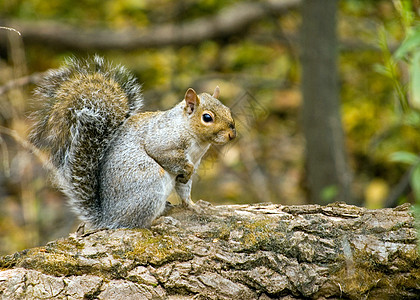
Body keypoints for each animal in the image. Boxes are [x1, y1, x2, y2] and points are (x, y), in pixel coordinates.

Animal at [30, 56, 236, 229]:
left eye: (228, 110)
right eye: (207, 117)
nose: (232, 134)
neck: (195, 139)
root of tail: (109, 217)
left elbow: (184, 190)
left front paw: (194, 205)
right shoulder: (163, 141)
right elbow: (164, 155)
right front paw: (186, 171)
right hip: (149, 184)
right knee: (139, 223)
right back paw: (159, 221)